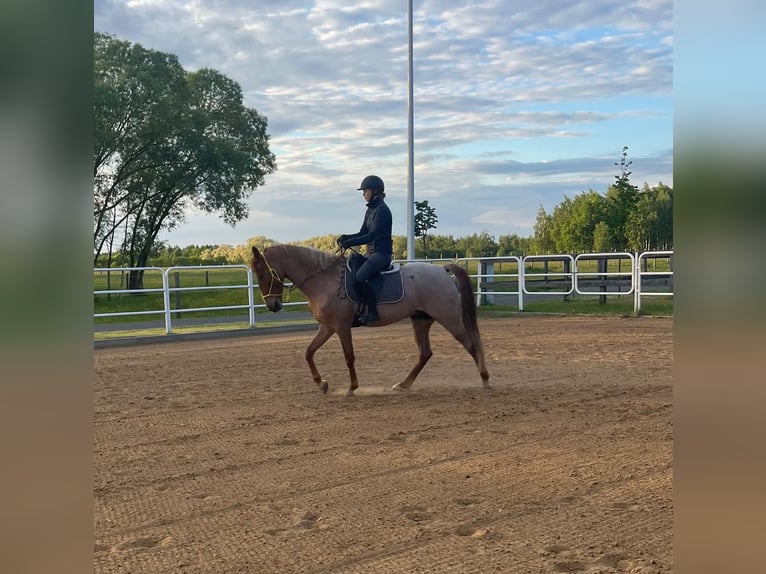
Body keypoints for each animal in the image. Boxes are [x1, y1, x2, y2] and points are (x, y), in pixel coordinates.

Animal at [252, 245, 492, 398]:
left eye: (262, 274)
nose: (273, 306)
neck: (323, 280)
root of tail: (442, 270)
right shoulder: (327, 327)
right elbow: (308, 352)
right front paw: (322, 384)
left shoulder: (341, 326)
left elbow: (349, 357)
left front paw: (351, 388)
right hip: (421, 320)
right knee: (425, 353)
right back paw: (403, 385)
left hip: (449, 319)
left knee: (471, 345)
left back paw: (485, 379)